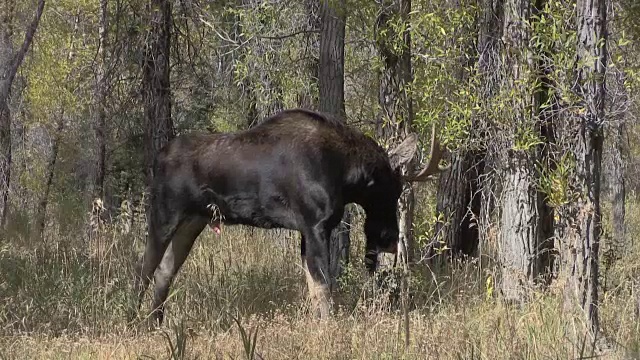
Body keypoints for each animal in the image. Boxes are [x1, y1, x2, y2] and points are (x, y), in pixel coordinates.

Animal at [130, 108, 444, 324]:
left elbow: (313, 287)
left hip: (193, 221)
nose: (390, 238)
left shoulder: (307, 230)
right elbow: (323, 285)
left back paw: (157, 321)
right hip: (164, 214)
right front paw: (329, 327)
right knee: (143, 269)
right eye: (391, 189)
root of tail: (157, 158)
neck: (346, 175)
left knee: (164, 271)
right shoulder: (316, 225)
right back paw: (134, 320)